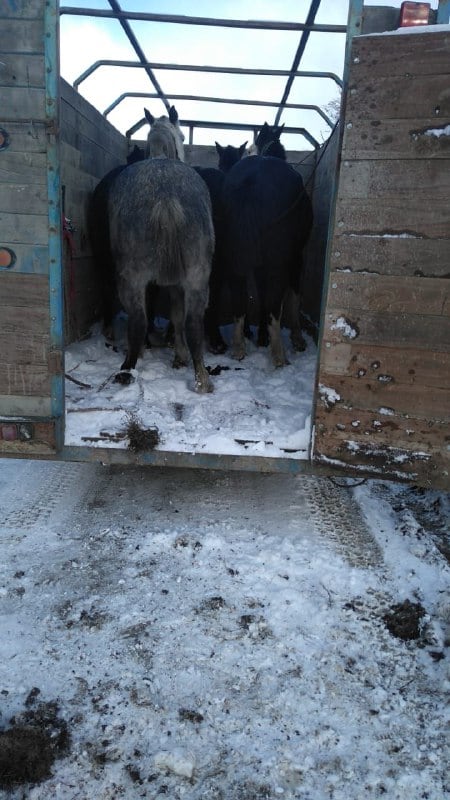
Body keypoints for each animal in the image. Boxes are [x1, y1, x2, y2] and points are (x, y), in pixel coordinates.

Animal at [220, 123, 312, 368]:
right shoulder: (295, 258)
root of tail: (250, 180)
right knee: (274, 304)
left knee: (239, 301)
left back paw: (239, 348)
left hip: (234, 260)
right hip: (279, 263)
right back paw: (279, 355)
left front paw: (261, 337)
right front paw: (298, 339)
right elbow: (294, 297)